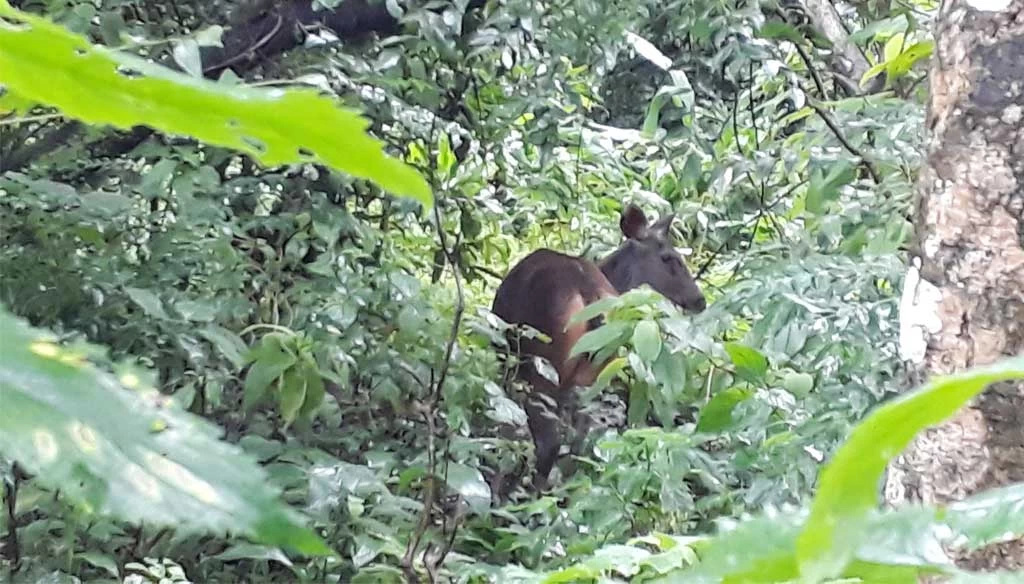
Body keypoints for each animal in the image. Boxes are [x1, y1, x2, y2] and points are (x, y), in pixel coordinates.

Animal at [491, 201, 708, 489]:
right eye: (668, 257)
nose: (700, 300)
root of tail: (589, 292)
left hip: (544, 364)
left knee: (550, 440)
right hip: (594, 370)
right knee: (581, 438)